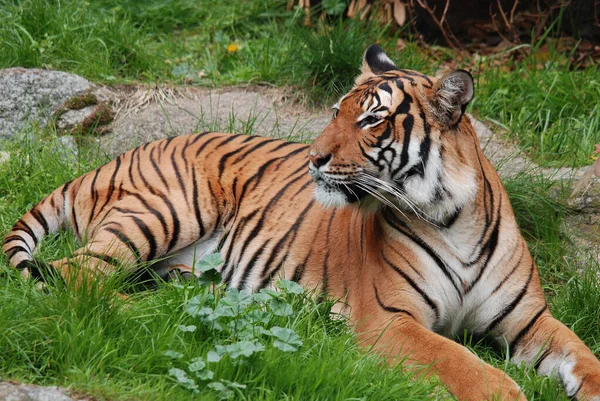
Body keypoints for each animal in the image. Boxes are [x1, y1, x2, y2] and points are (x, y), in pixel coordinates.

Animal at [1, 42, 600, 398]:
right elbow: (463, 363)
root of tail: (115, 156)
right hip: (165, 210)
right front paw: (507, 391)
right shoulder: (391, 319)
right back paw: (151, 318)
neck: (453, 217)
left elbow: (584, 355)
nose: (314, 157)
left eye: (372, 120)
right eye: (337, 111)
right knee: (78, 279)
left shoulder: (530, 320)